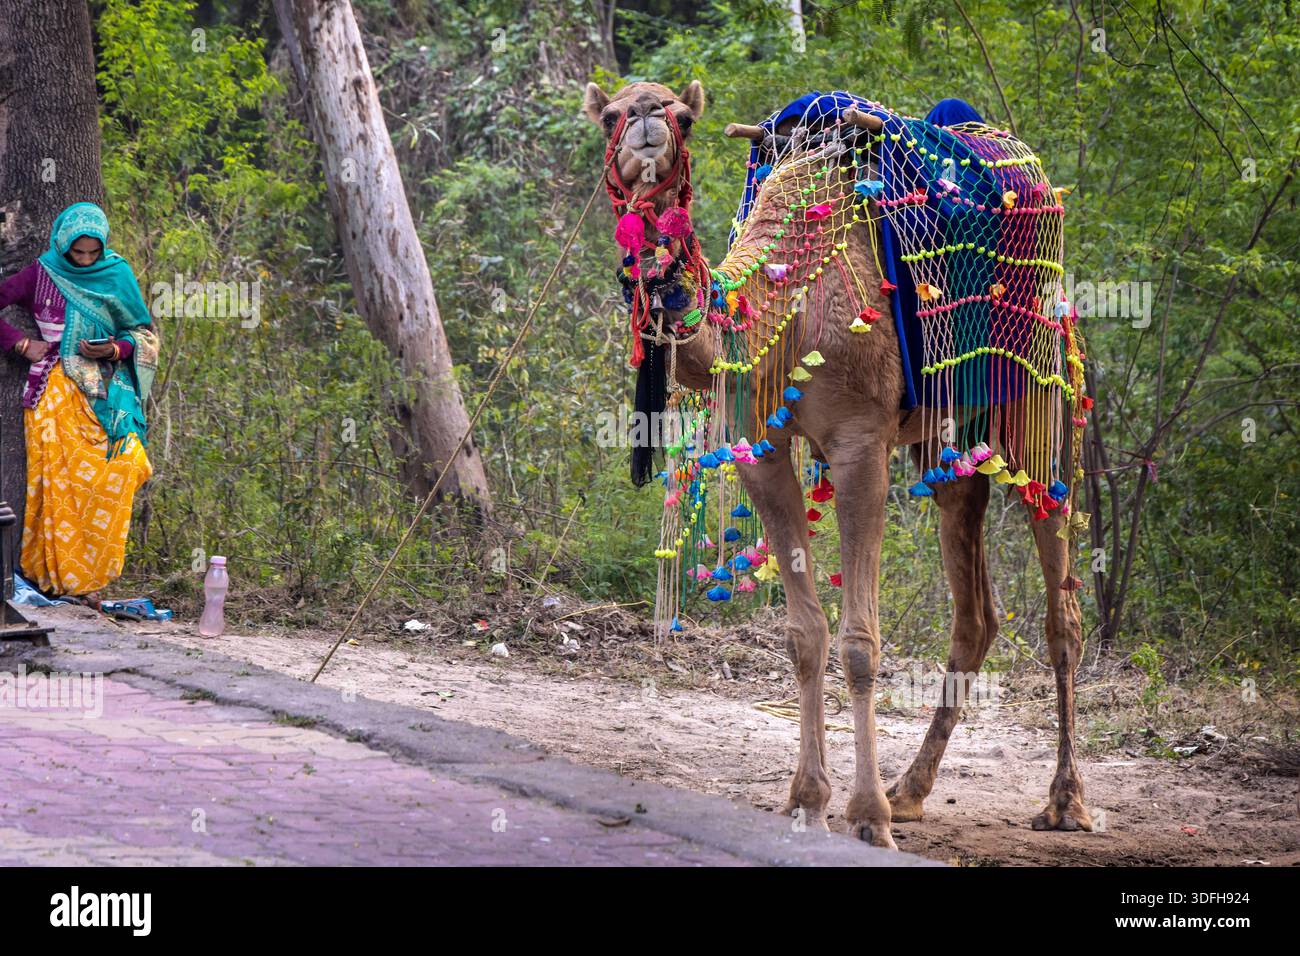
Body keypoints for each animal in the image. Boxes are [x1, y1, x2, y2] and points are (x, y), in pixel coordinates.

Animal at [583, 79, 1091, 849]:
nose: (645, 116)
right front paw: (806, 798)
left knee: (1061, 606)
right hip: (950, 440)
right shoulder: (762, 447)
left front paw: (866, 817)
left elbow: (859, 643)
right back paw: (912, 790)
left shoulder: (859, 446)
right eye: (612, 114)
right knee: (975, 612)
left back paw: (1064, 801)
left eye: (683, 115)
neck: (779, 307)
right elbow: (804, 635)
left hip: (1035, 393)